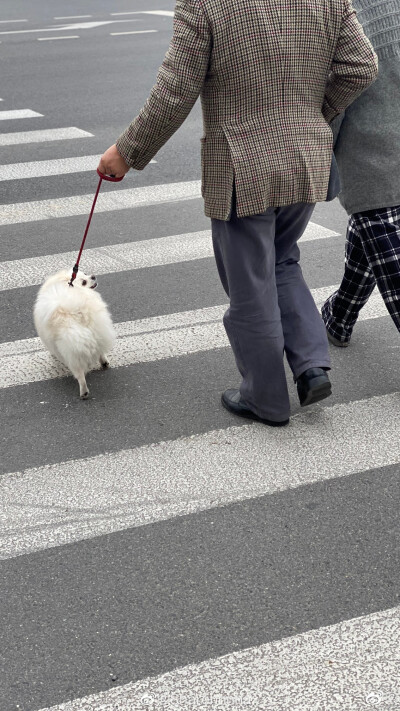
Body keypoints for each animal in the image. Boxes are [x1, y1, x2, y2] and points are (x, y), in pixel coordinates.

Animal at [33, 270, 115, 398]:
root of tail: (79, 311)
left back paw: (83, 392)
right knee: (100, 350)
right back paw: (104, 362)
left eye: (85, 274)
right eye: (84, 280)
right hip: (99, 331)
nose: (93, 276)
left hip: (72, 350)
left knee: (79, 374)